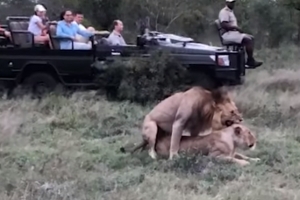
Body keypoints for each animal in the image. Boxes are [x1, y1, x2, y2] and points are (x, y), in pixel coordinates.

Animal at [120, 124, 258, 166]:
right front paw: (245, 163)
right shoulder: (214, 156)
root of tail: (159, 137)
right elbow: (231, 159)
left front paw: (255, 159)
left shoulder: (233, 152)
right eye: (249, 132)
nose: (256, 140)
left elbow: (241, 156)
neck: (233, 142)